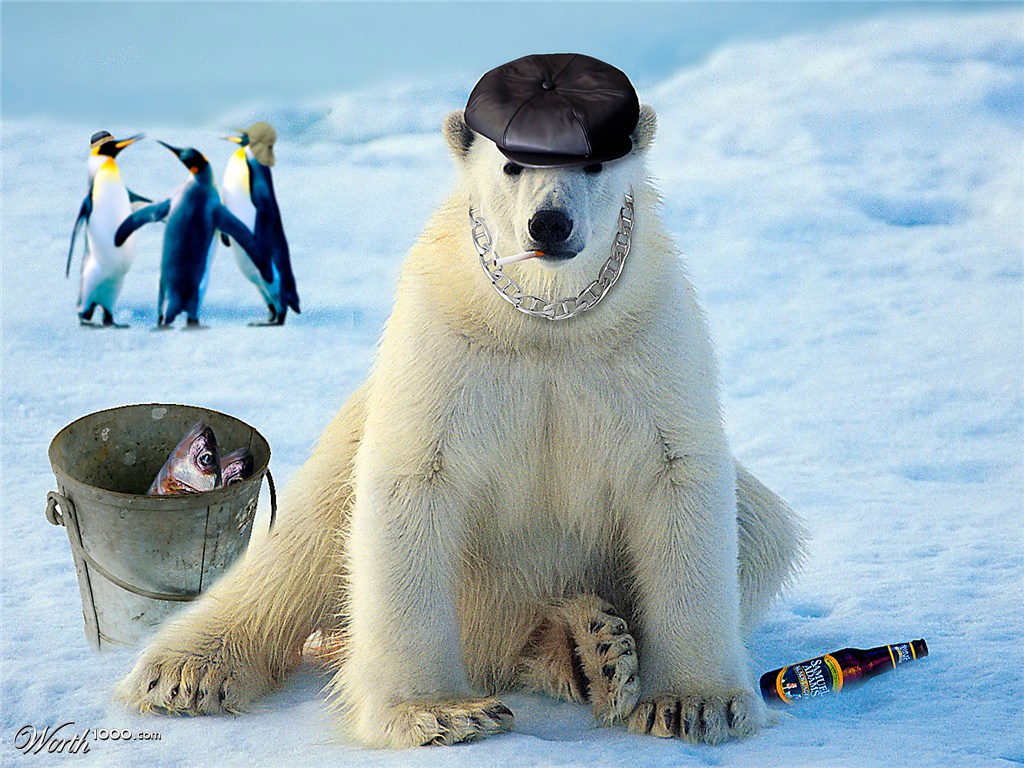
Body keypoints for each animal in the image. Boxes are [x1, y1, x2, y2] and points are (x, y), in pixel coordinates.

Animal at [116, 103, 805, 749]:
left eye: (593, 164)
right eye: (512, 164)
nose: (549, 223)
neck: (547, 319)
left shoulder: (649, 343)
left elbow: (676, 478)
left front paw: (695, 704)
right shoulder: (444, 344)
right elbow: (412, 484)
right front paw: (440, 713)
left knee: (761, 528)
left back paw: (593, 648)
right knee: (301, 543)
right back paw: (183, 671)